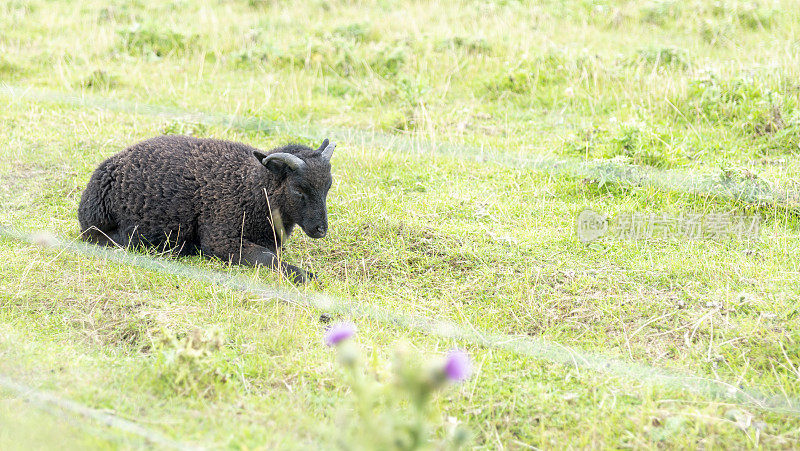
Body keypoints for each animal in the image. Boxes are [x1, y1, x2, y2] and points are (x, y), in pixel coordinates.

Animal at [78, 134, 334, 284]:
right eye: (298, 189)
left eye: (328, 186)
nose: (321, 230)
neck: (252, 187)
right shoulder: (220, 239)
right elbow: (266, 257)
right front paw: (304, 275)